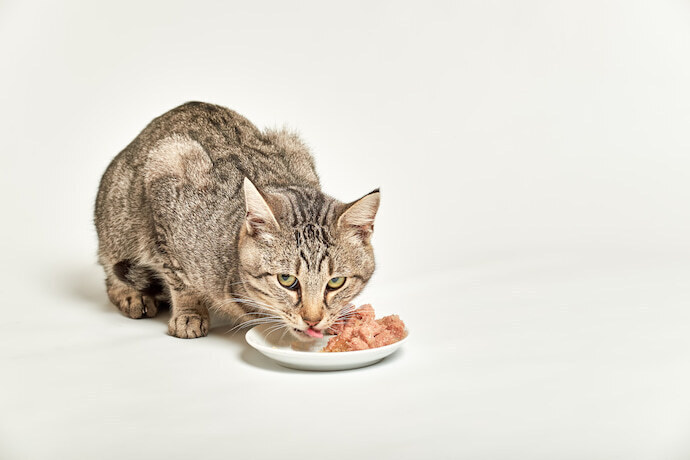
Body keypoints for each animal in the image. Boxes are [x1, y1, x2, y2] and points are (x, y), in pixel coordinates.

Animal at [92, 102, 376, 340]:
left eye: (336, 282)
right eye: (287, 280)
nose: (313, 320)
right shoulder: (166, 172)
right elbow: (178, 277)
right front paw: (189, 313)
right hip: (118, 221)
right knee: (110, 269)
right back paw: (131, 295)